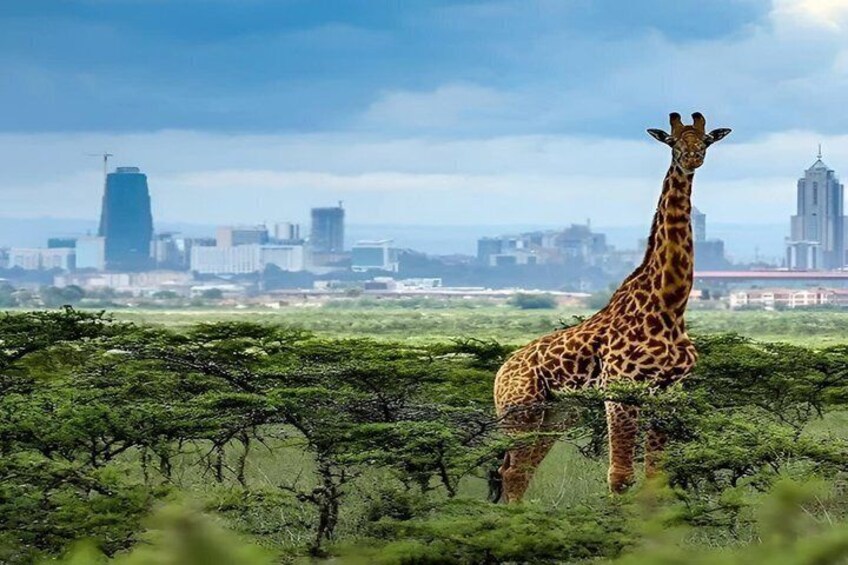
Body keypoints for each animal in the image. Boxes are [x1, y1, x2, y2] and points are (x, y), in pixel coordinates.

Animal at [491, 112, 731, 503]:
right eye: (672, 142)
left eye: (706, 140)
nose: (693, 157)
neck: (669, 305)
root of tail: (500, 373)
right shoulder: (619, 390)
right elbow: (619, 477)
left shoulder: (668, 392)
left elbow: (654, 477)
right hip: (520, 410)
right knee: (512, 471)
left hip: (558, 412)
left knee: (520, 470)